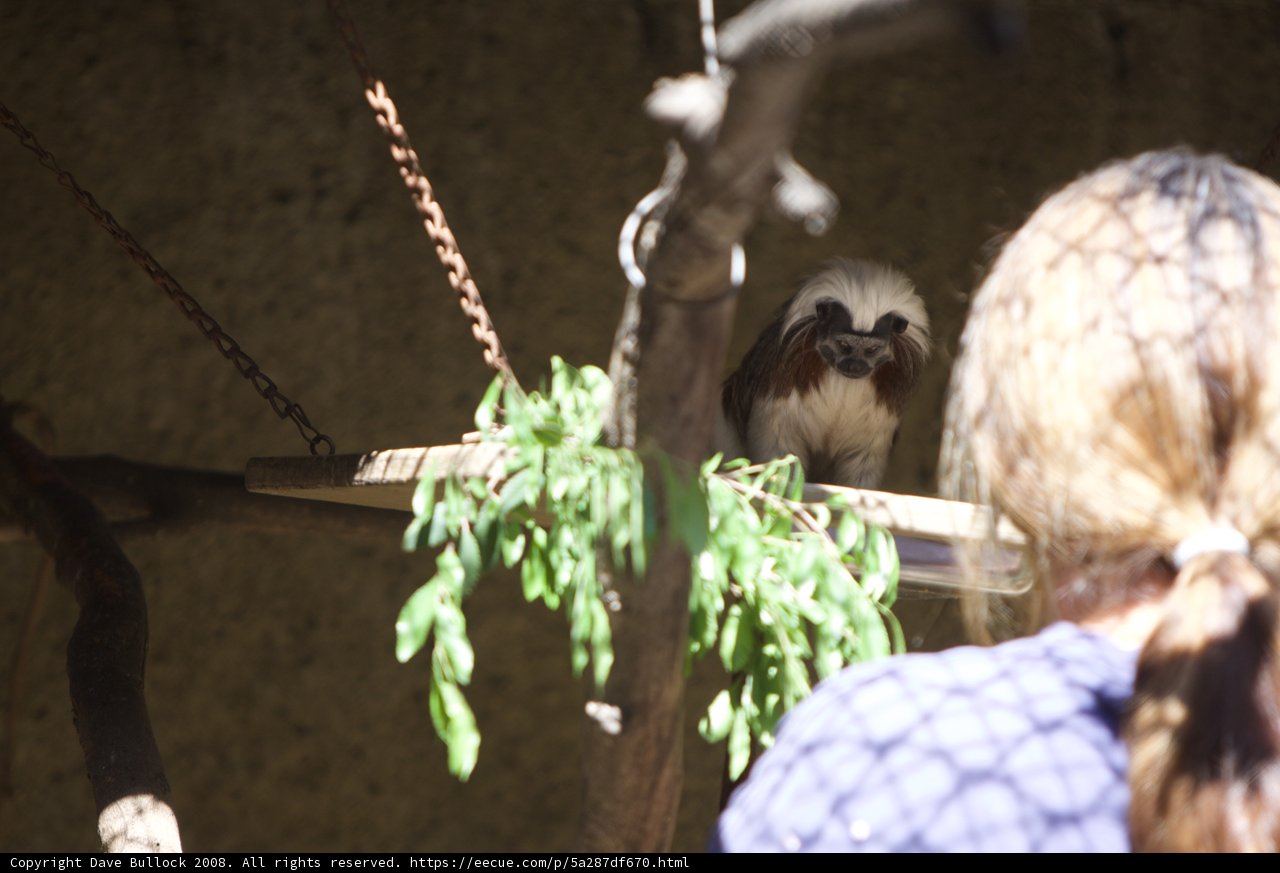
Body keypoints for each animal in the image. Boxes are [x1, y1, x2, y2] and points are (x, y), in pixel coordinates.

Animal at [715, 259, 931, 489]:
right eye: (844, 345)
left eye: (872, 350)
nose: (854, 366)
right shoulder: (783, 376)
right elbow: (779, 439)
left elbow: (863, 455)